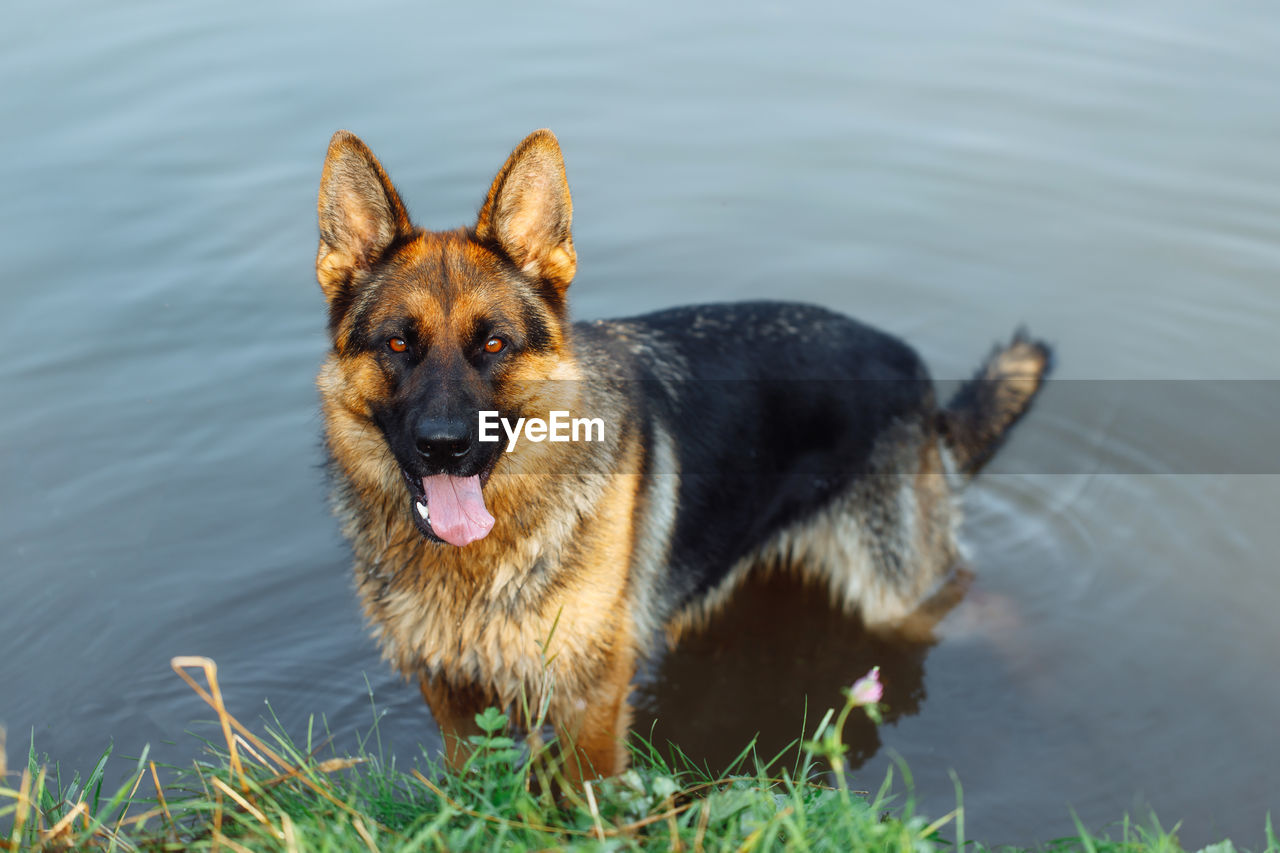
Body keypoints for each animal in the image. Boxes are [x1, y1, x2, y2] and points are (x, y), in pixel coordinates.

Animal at [312, 128, 1049, 778]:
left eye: (494, 345)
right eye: (397, 344)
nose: (443, 446)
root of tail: (914, 369)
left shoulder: (590, 702)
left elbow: (585, 802)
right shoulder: (453, 697)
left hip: (895, 593)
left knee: (985, 604)